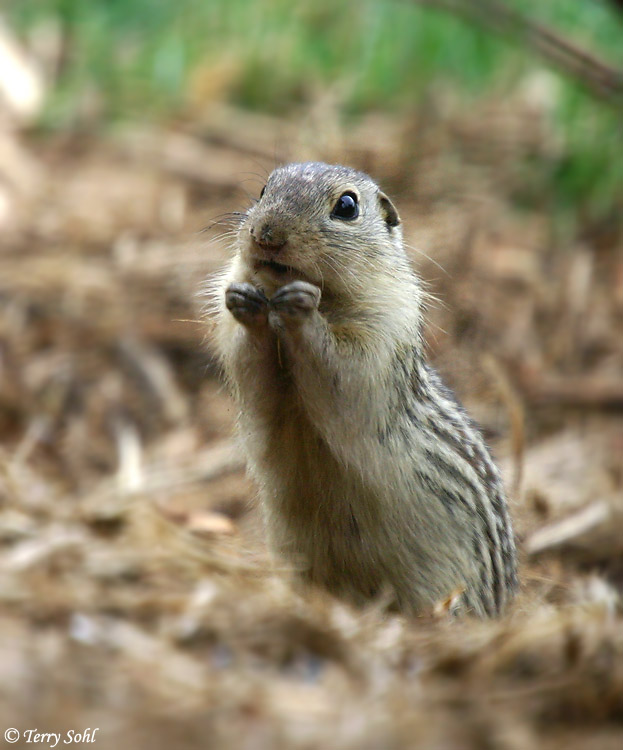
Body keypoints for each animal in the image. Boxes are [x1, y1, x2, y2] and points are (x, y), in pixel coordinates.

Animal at [210, 162, 517, 617]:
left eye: (347, 206)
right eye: (264, 189)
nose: (266, 234)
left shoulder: (379, 342)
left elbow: (339, 373)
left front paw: (302, 308)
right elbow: (256, 375)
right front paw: (245, 300)